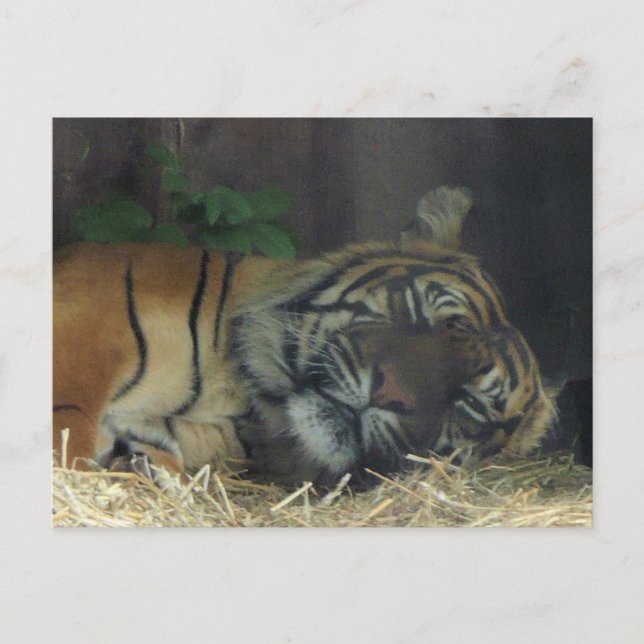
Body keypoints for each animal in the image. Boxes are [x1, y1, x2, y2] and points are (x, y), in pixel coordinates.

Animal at [53, 186, 556, 489]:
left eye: (468, 404)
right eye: (419, 314)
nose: (391, 393)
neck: (245, 398)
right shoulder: (82, 327)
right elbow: (69, 436)